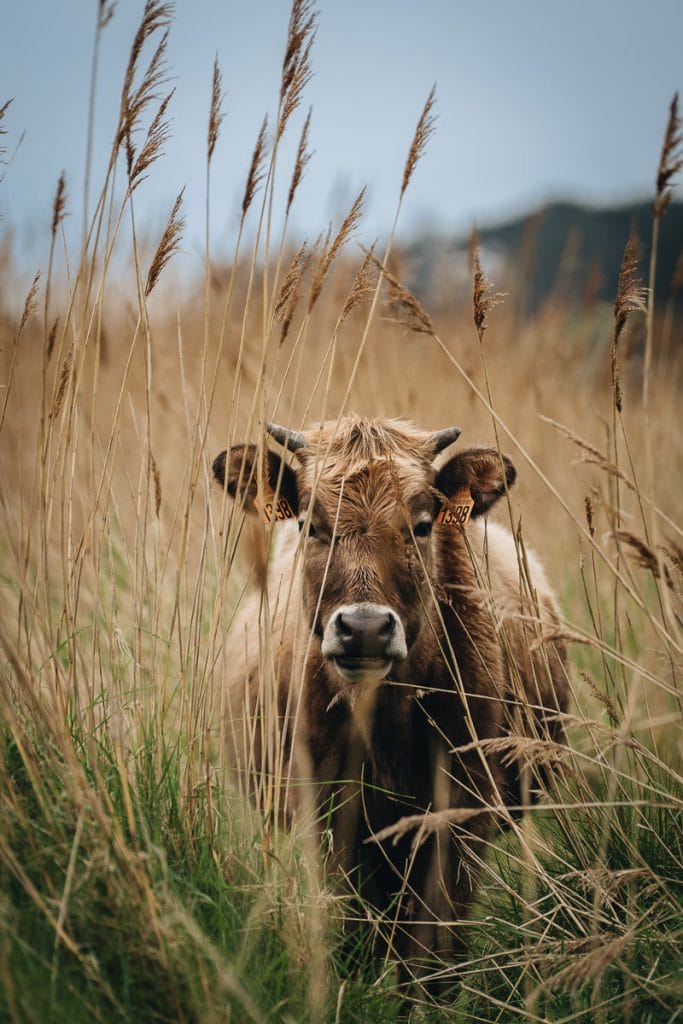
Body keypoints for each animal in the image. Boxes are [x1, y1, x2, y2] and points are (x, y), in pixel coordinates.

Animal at [212, 415, 568, 993]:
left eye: (421, 526)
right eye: (310, 524)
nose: (364, 629)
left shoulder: (463, 815)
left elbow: (437, 947)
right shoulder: (330, 816)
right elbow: (355, 931)